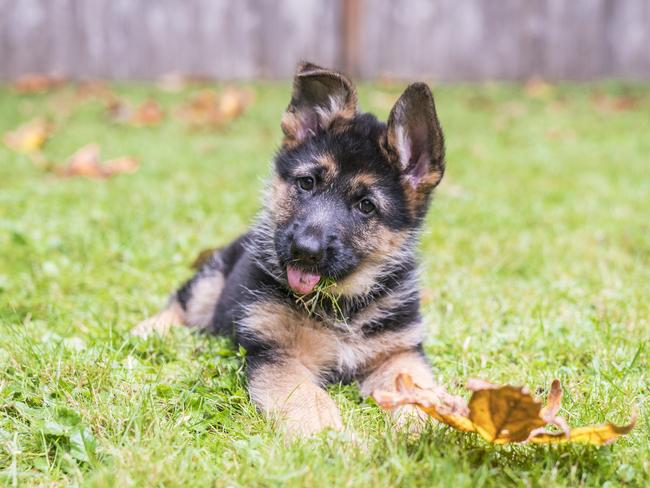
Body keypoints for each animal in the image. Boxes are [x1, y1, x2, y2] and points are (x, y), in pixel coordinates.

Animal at [134, 62, 442, 438]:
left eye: (366, 206)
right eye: (307, 183)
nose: (304, 250)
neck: (341, 305)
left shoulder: (399, 352)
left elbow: (417, 388)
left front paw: (429, 424)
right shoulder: (277, 354)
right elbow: (307, 398)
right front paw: (331, 437)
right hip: (211, 281)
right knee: (182, 304)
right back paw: (148, 330)